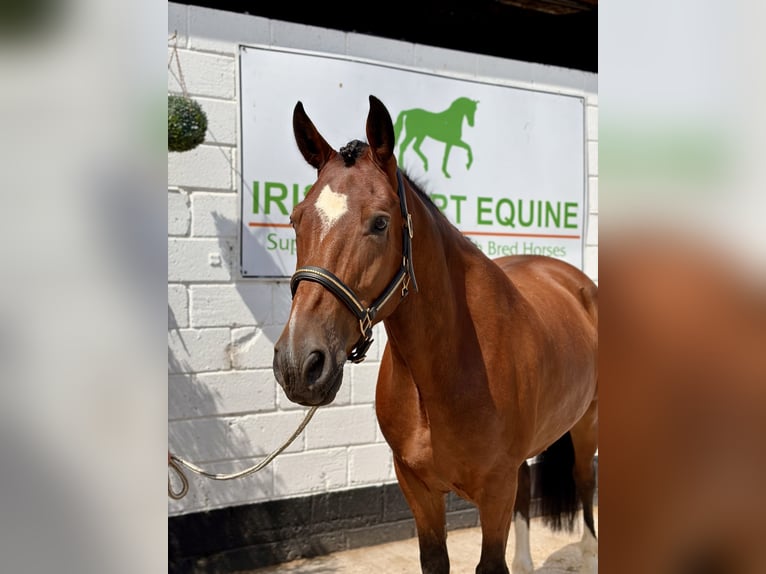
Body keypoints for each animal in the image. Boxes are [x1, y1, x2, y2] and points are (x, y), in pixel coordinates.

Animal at [273, 95, 598, 574]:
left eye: (380, 223)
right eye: (296, 220)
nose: (300, 364)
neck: (450, 367)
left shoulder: (494, 493)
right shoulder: (417, 488)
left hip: (586, 423)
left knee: (584, 481)